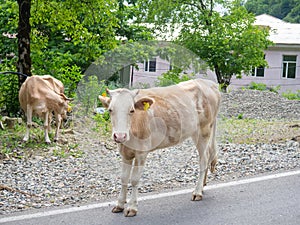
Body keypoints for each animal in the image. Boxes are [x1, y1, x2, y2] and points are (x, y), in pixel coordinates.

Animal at [98, 78, 220, 216]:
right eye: (110, 110)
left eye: (132, 110)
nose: (120, 136)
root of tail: (209, 83)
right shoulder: (125, 152)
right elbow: (123, 178)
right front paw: (119, 204)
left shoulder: (141, 153)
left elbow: (134, 179)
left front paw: (132, 207)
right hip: (196, 132)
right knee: (208, 155)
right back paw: (203, 185)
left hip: (204, 131)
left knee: (204, 160)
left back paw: (197, 192)